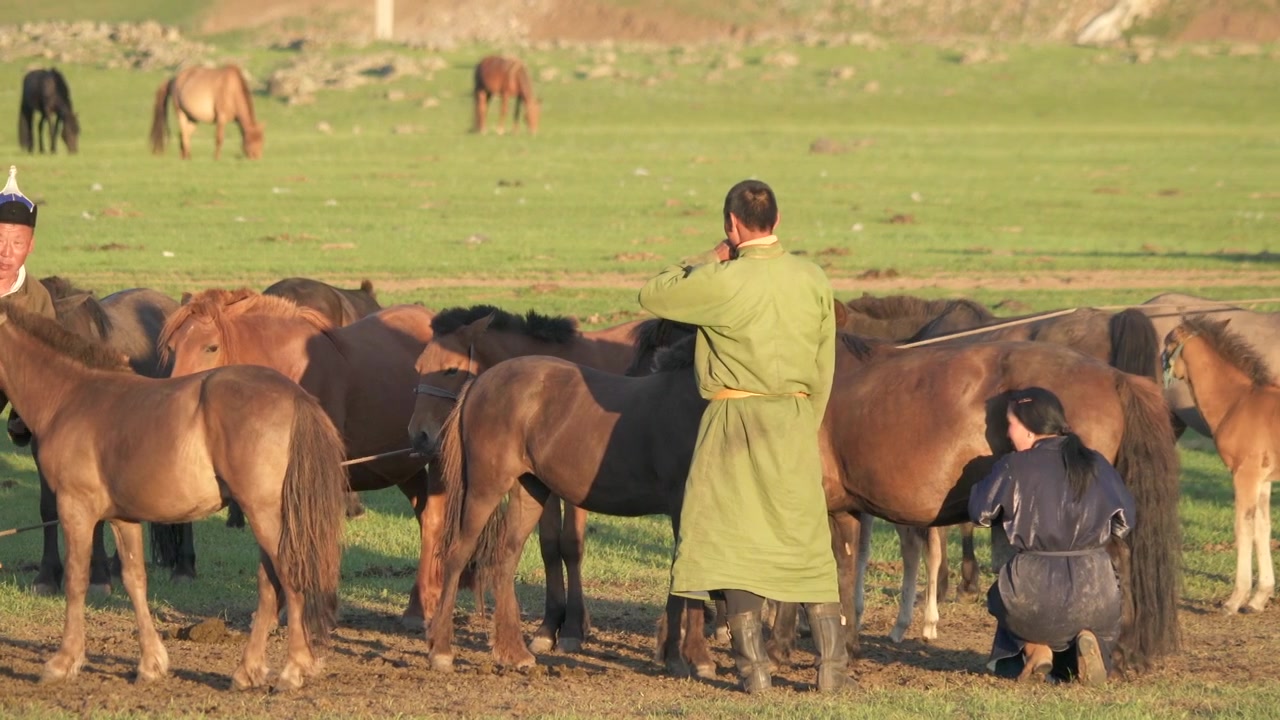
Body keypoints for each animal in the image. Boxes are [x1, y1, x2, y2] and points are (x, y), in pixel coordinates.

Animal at [0, 306, 345, 690]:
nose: (15, 429)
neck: (70, 397)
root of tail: (295, 396)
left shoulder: (76, 509)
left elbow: (76, 580)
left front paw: (63, 661)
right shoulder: (123, 517)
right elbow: (135, 580)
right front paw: (151, 663)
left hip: (265, 514)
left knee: (288, 576)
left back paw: (293, 669)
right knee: (269, 583)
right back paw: (247, 671)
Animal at [407, 305, 651, 653]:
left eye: (451, 370)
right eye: (419, 366)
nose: (418, 435)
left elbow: (571, 546)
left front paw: (573, 627)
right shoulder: (540, 482)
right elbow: (550, 547)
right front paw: (549, 627)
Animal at [1162, 316, 1279, 614]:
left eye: (1167, 342)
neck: (1237, 402)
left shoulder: (1244, 474)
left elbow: (1243, 528)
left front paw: (1235, 599)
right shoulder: (1263, 479)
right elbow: (1262, 527)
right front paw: (1258, 599)